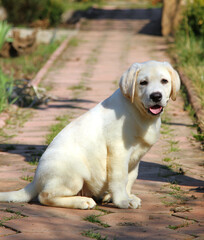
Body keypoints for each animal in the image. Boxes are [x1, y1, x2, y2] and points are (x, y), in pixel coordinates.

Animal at [0, 61, 180, 209]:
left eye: (164, 81)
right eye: (143, 83)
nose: (156, 96)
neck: (138, 112)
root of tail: (35, 180)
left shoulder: (136, 157)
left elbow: (131, 178)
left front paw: (126, 196)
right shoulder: (118, 151)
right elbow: (120, 177)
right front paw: (122, 201)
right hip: (74, 171)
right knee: (45, 196)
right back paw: (82, 202)